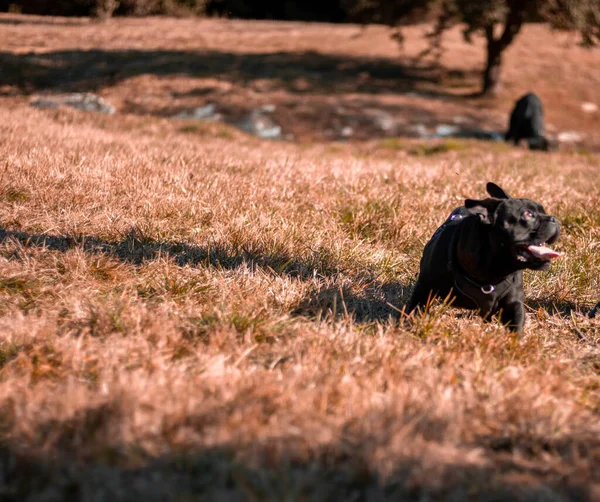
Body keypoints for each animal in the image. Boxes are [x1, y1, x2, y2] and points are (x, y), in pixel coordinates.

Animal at [408, 182, 564, 332]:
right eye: (528, 214)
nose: (554, 218)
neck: (491, 274)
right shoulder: (424, 288)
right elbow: (416, 309)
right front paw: (411, 326)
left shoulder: (514, 303)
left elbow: (516, 325)